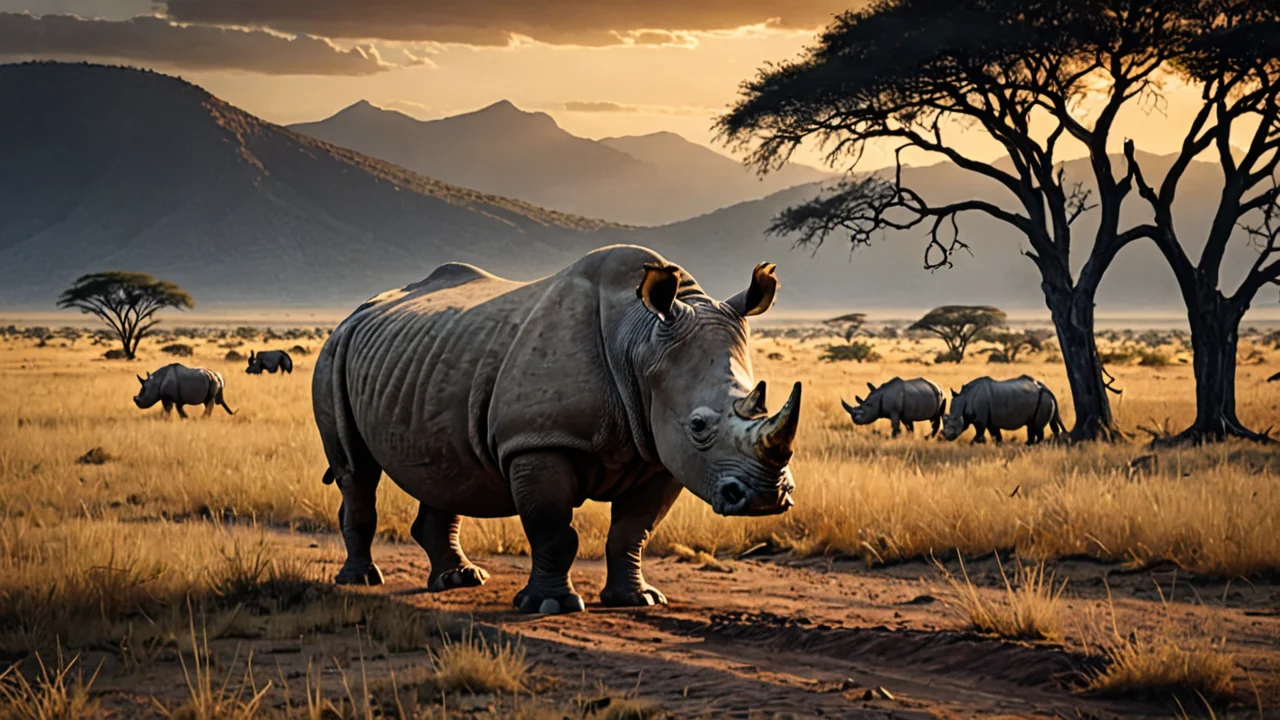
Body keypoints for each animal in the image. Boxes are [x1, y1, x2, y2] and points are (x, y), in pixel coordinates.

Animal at [313, 245, 801, 614]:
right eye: (698, 425)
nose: (766, 497)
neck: (640, 340)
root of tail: (356, 313)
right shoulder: (536, 442)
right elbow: (552, 528)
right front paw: (549, 607)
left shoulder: (659, 454)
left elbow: (634, 531)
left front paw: (637, 600)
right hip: (334, 352)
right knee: (356, 471)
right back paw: (361, 581)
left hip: (425, 360)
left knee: (442, 465)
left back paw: (459, 580)